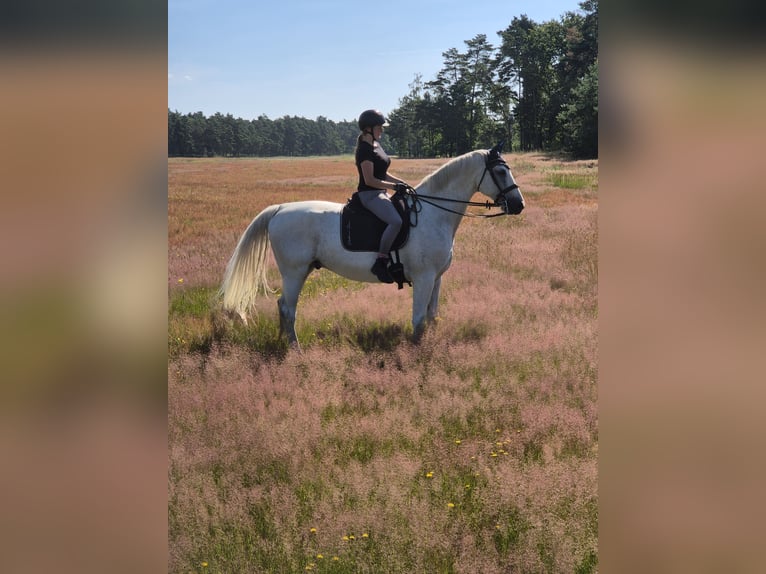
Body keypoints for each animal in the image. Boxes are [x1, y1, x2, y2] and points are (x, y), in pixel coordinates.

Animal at [219, 143, 524, 350]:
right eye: (500, 171)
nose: (518, 204)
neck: (433, 214)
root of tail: (280, 209)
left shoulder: (436, 278)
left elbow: (432, 316)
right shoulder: (424, 278)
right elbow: (418, 319)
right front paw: (415, 351)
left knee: (283, 307)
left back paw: (285, 341)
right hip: (294, 272)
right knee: (287, 309)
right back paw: (295, 349)